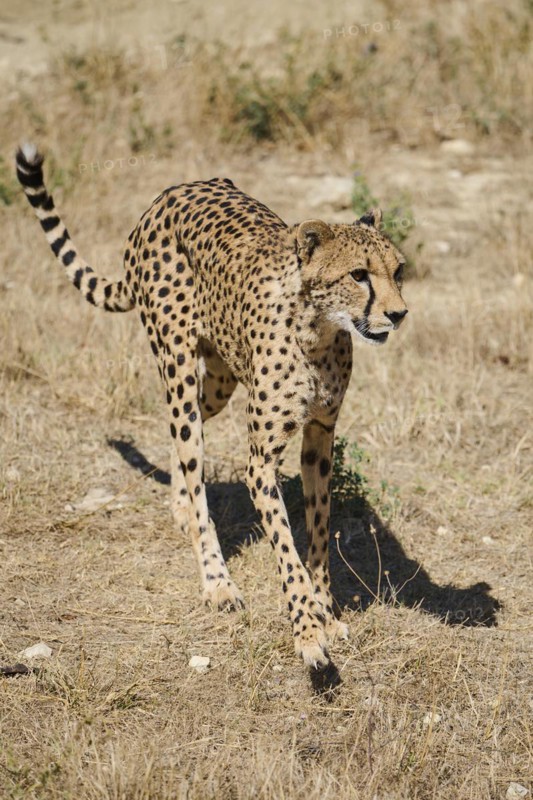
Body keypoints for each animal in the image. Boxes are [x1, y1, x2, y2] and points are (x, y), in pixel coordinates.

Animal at [16, 143, 408, 672]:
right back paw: (217, 581)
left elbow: (319, 534)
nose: (398, 313)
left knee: (189, 436)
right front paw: (308, 633)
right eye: (359, 275)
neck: (318, 331)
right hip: (176, 362)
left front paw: (326, 614)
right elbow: (287, 552)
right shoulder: (260, 460)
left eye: (397, 271)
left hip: (220, 378)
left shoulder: (320, 436)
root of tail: (168, 194)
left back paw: (181, 504)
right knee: (189, 445)